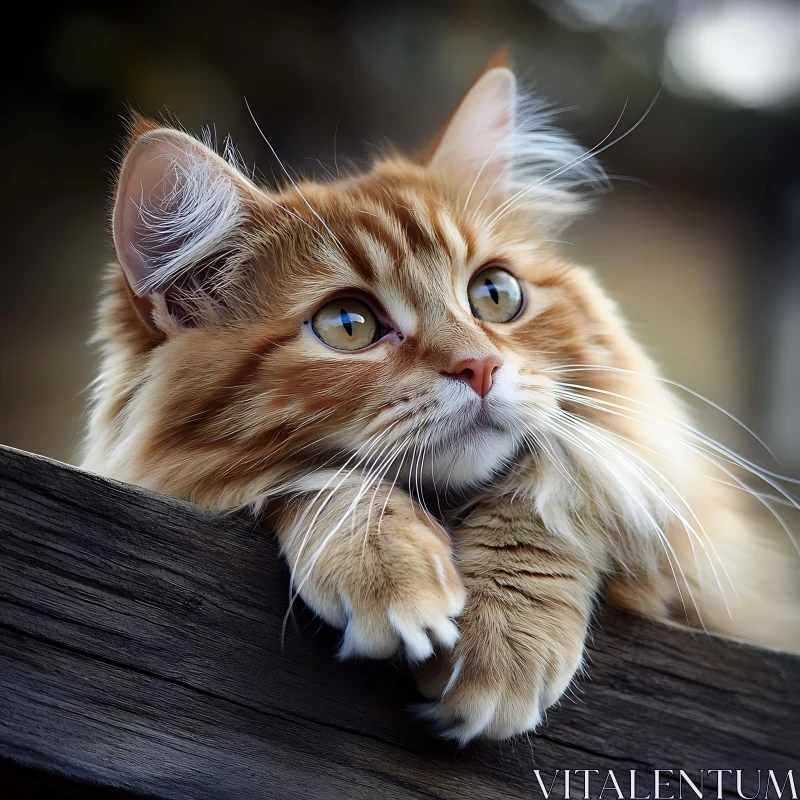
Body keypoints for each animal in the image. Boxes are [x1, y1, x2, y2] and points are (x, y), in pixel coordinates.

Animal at [84, 56, 796, 744]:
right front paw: (384, 564)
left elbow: (553, 488)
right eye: (348, 325)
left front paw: (506, 634)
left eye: (495, 294)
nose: (479, 365)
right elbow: (323, 481)